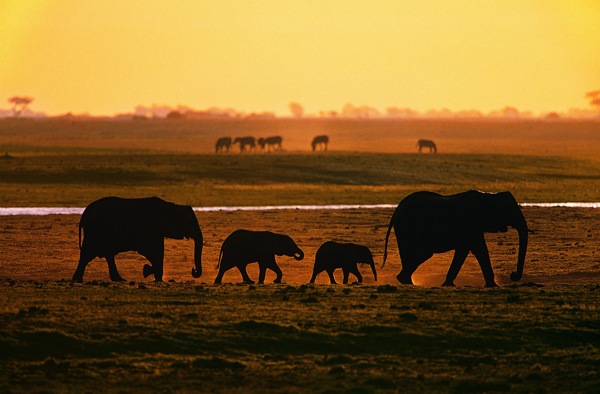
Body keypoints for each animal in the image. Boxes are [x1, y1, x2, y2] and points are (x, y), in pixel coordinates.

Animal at [72, 197, 204, 284]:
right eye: (190, 223)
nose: (193, 270)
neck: (171, 206)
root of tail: (85, 213)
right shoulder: (149, 230)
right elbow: (152, 252)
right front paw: (150, 272)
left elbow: (158, 251)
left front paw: (154, 275)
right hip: (95, 231)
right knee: (87, 254)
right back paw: (78, 279)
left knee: (105, 255)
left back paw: (119, 279)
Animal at [384, 190, 528, 286]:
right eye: (510, 212)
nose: (513, 275)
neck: (489, 196)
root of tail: (399, 206)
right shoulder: (471, 224)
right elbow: (480, 249)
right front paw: (493, 286)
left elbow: (464, 251)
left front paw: (448, 284)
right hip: (407, 226)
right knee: (423, 253)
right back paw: (405, 281)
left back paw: (405, 281)